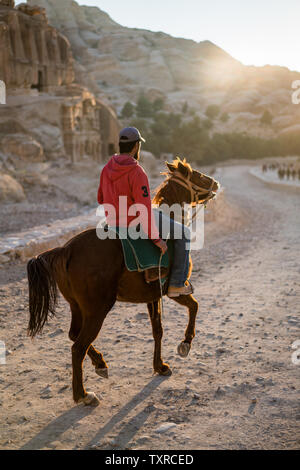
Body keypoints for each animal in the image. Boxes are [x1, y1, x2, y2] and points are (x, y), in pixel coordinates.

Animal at [27, 157, 219, 404]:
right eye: (196, 174)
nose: (215, 183)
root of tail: (66, 249)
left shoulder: (153, 296)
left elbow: (158, 329)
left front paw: (160, 366)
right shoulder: (172, 290)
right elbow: (194, 307)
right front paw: (185, 343)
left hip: (77, 306)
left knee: (73, 335)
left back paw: (100, 364)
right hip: (97, 310)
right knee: (78, 347)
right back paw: (83, 394)